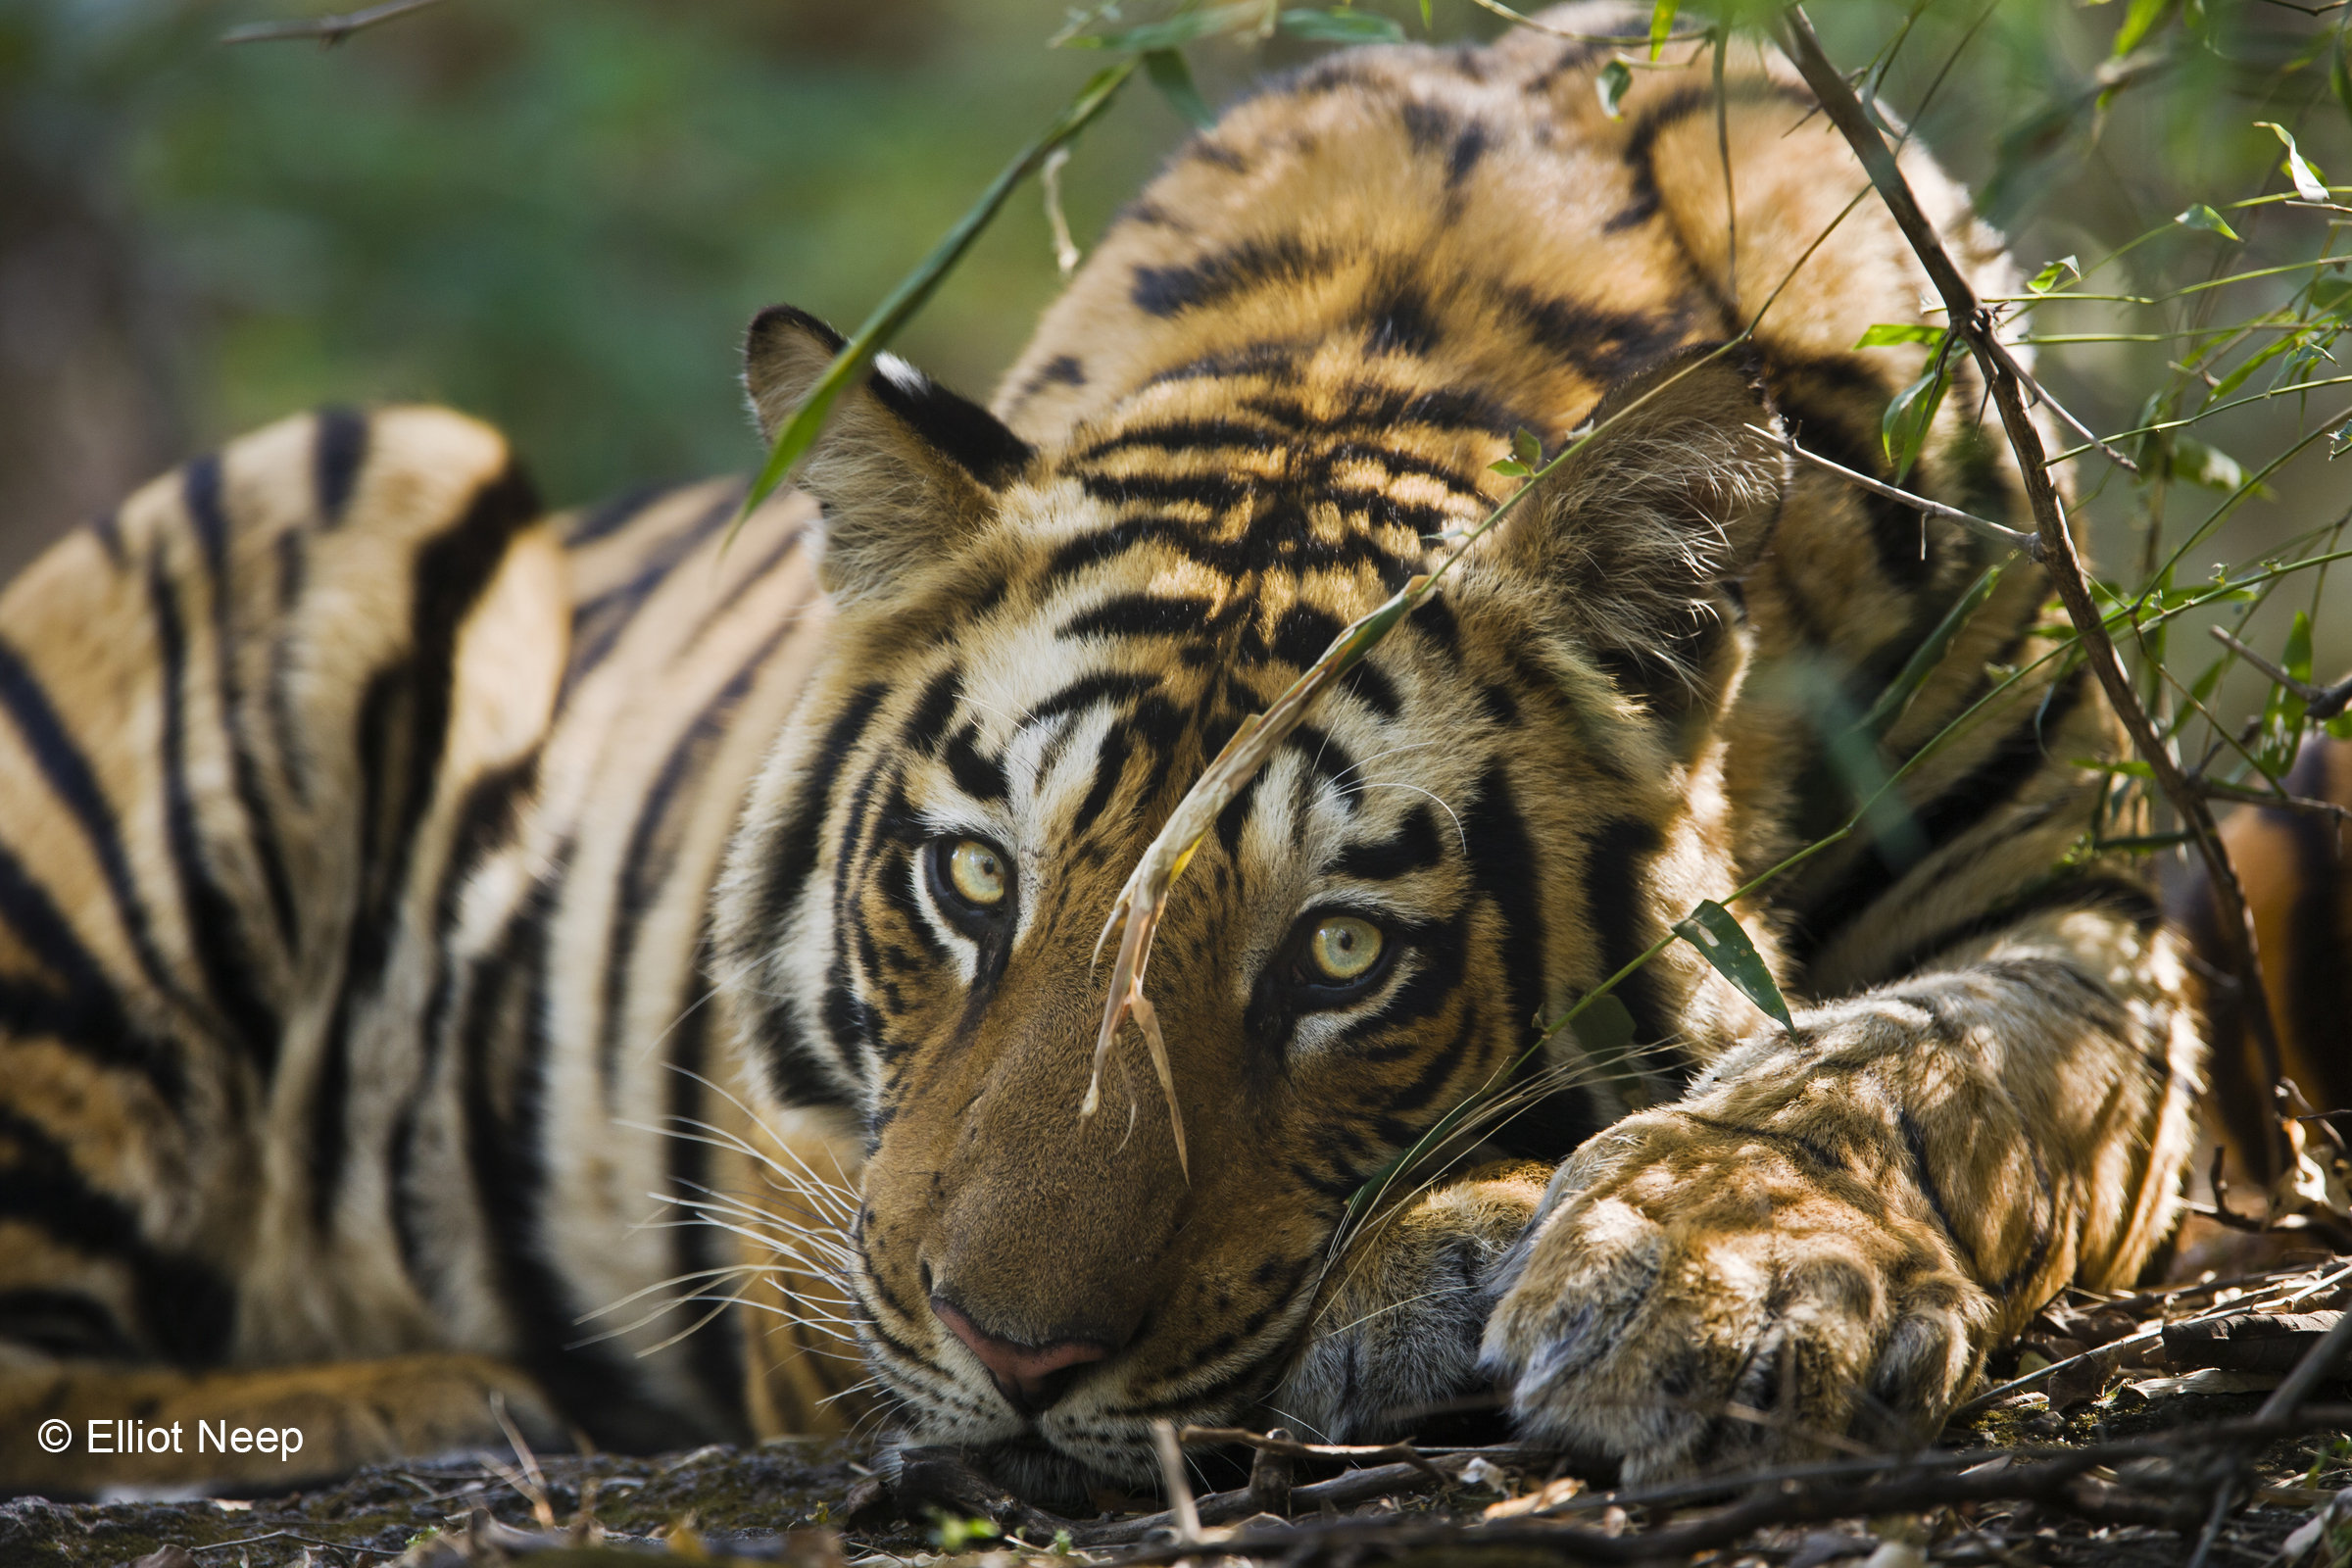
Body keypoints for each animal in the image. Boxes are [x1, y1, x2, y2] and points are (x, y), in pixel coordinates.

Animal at [1, 4, 2205, 1505]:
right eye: (972, 879)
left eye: (1341, 954)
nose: (1018, 1353)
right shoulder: (812, 1178)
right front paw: (1473, 1254)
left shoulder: (2088, 901)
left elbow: (1912, 1065)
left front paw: (1721, 1285)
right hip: (357, 484)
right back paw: (459, 1398)